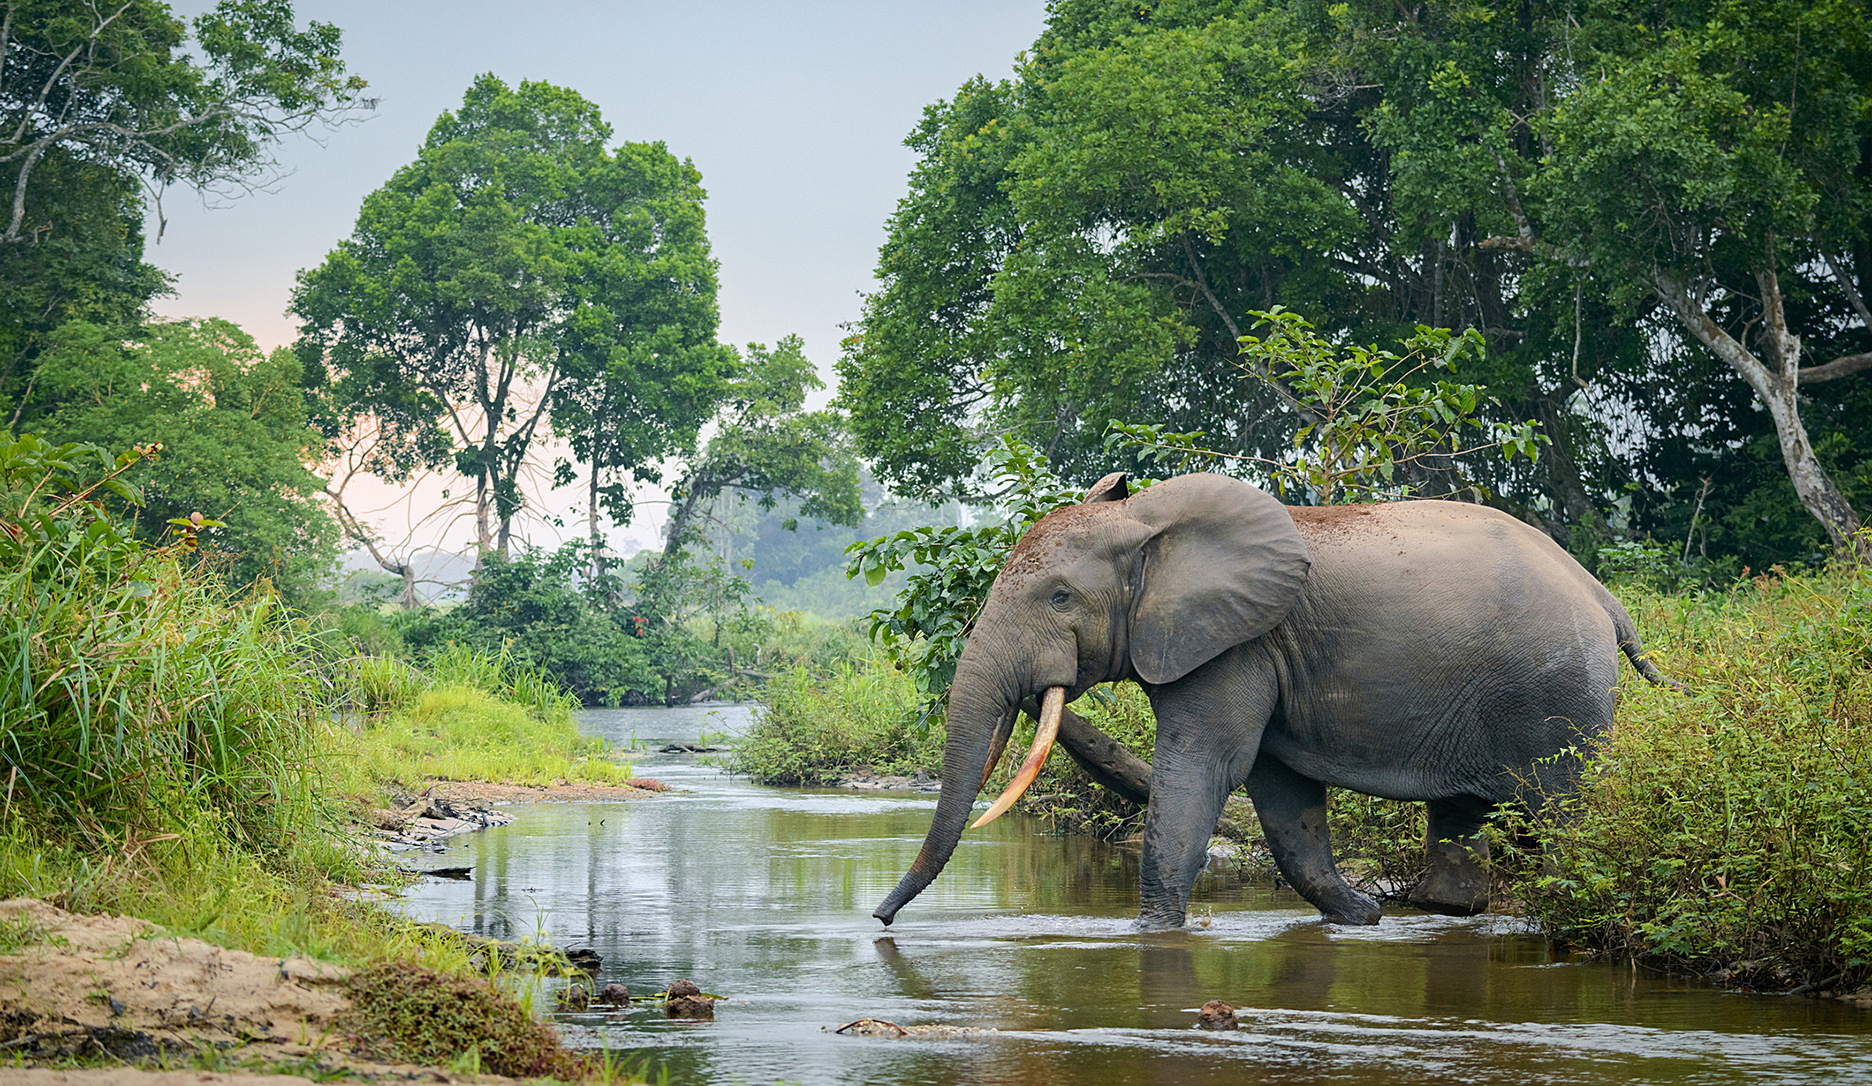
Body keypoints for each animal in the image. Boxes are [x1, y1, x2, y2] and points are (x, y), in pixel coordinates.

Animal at [873, 471, 1675, 930]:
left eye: (1061, 597)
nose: (879, 922)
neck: (1150, 524)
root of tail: (1603, 596)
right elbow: (1281, 792)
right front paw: (1362, 919)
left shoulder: (1235, 642)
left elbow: (1206, 768)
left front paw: (1150, 936)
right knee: (1461, 819)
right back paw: (1440, 914)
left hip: (1554, 692)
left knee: (1563, 812)